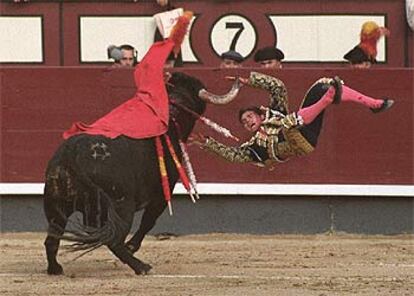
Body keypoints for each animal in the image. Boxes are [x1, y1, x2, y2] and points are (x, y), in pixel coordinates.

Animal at [42, 72, 239, 276]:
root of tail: (72, 154)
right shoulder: (162, 193)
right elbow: (148, 221)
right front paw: (132, 246)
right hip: (121, 205)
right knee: (113, 240)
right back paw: (141, 266)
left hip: (56, 205)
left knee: (52, 238)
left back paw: (55, 268)